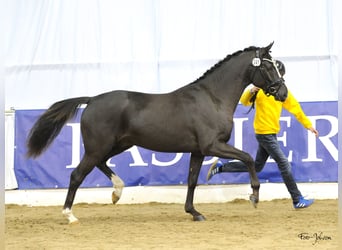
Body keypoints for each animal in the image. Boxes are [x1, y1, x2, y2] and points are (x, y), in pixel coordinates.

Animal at [27, 42, 288, 224]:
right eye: (268, 66)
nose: (283, 93)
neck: (212, 98)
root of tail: (92, 100)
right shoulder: (212, 145)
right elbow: (247, 158)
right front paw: (254, 197)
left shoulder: (197, 151)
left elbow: (192, 181)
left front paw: (194, 212)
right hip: (97, 147)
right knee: (77, 175)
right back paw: (70, 215)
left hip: (116, 145)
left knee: (100, 164)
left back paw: (116, 193)